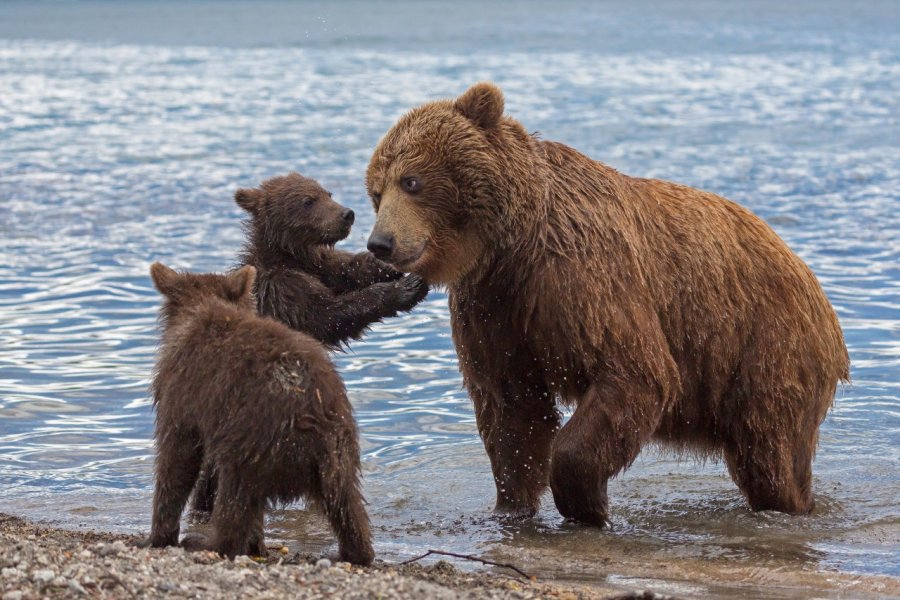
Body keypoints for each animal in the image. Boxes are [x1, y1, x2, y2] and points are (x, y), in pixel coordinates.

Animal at [364, 81, 852, 524]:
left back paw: (792, 505)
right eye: (375, 191)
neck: (514, 244)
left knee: (771, 453)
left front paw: (586, 503)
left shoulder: (582, 277)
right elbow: (512, 407)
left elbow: (635, 373)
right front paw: (512, 506)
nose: (380, 244)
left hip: (765, 344)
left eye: (411, 181)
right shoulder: (493, 305)